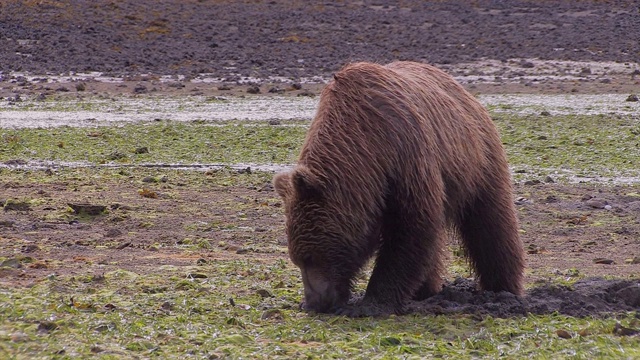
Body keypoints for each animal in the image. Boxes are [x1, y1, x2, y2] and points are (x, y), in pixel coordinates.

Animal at [274, 60, 524, 316]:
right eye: (297, 259)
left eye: (311, 257)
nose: (314, 302)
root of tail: (463, 91)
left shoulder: (405, 156)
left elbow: (411, 227)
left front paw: (375, 300)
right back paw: (426, 289)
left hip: (477, 160)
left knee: (490, 221)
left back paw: (503, 289)